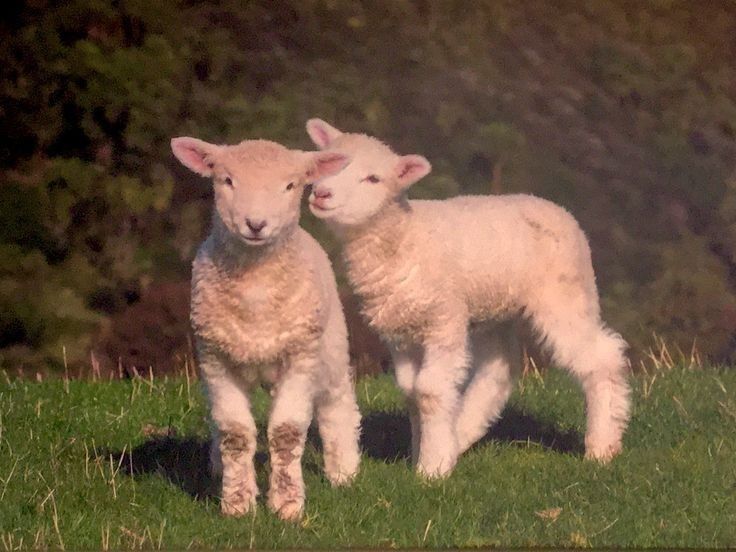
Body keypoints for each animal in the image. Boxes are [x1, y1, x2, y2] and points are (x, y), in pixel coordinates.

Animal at [170, 136, 360, 520]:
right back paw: (217, 466)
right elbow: (235, 433)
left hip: (329, 345)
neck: (256, 290)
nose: (255, 224)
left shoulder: (300, 357)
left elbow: (286, 432)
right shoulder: (215, 359)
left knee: (337, 402)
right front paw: (237, 502)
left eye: (290, 185)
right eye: (227, 181)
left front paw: (287, 505)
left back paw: (344, 470)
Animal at [304, 119, 632, 478]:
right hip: (496, 308)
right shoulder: (401, 331)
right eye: (327, 163)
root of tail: (561, 212)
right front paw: (423, 452)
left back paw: (601, 447)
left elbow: (430, 390)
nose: (321, 194)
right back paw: (459, 435)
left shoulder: (444, 320)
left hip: (564, 295)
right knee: (500, 369)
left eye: (373, 178)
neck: (402, 238)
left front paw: (431, 468)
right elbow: (411, 391)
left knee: (601, 357)